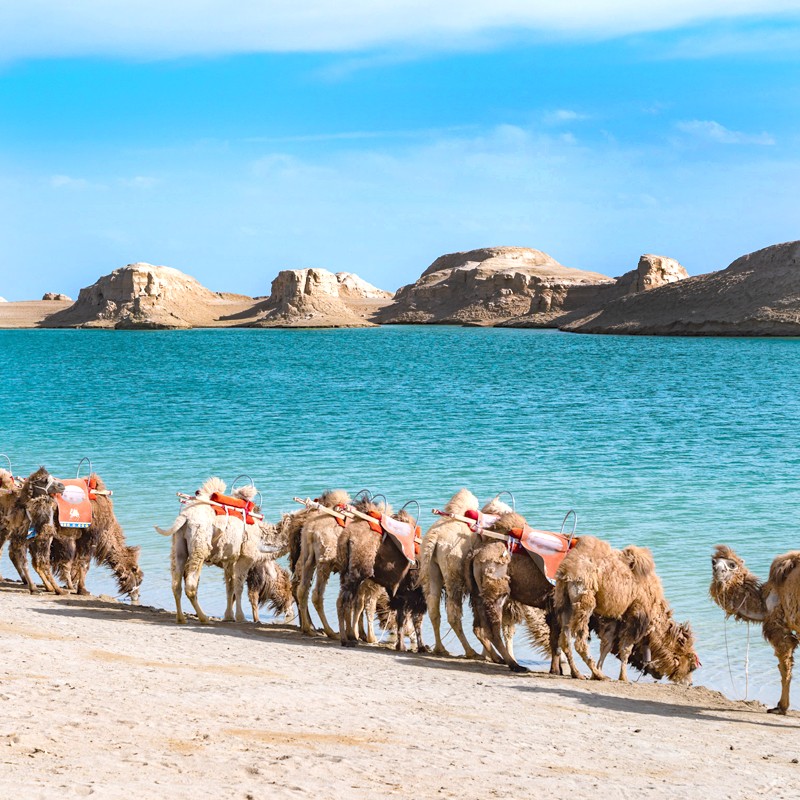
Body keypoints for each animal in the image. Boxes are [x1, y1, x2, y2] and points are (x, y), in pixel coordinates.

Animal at [156, 476, 282, 624]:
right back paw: (204, 618)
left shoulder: (229, 560)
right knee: (191, 585)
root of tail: (185, 517)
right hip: (199, 547)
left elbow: (230, 587)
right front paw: (240, 617)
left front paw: (229, 616)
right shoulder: (246, 557)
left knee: (176, 583)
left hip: (178, 545)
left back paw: (181, 618)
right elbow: (238, 586)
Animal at [334, 500, 428, 648]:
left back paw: (351, 637)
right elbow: (416, 620)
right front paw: (421, 647)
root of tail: (347, 536)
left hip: (345, 572)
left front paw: (401, 645)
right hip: (359, 572)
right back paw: (346, 639)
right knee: (344, 601)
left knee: (344, 601)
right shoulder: (416, 593)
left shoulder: (401, 594)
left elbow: (401, 618)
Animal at [552, 536, 696, 684]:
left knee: (565, 639)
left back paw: (579, 673)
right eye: (691, 665)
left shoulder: (614, 618)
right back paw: (599, 675)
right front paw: (623, 677)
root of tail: (567, 568)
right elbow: (626, 649)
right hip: (585, 597)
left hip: (564, 601)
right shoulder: (636, 616)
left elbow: (606, 645)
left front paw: (597, 672)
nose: (690, 683)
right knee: (579, 641)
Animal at [708, 548, 800, 716]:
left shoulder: (779, 626)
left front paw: (780, 707)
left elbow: (784, 667)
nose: (718, 571)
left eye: (732, 565)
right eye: (713, 562)